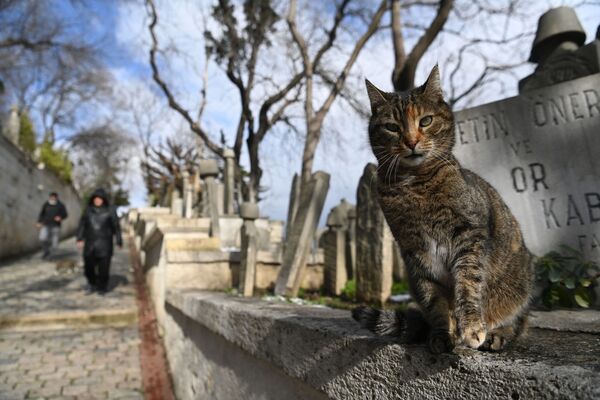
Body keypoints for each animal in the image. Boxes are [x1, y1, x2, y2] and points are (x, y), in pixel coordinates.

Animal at [352, 65, 536, 354]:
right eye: (392, 127)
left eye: (425, 121)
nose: (411, 141)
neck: (415, 185)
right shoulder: (415, 251)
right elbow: (434, 300)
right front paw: (440, 335)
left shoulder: (468, 234)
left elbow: (468, 282)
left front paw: (470, 327)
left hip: (520, 286)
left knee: (520, 321)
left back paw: (498, 334)